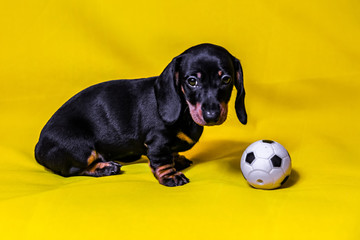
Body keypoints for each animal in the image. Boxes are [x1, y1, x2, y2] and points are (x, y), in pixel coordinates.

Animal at [34, 44, 248, 188]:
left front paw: (177, 158)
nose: (212, 116)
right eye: (192, 81)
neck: (185, 109)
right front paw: (171, 176)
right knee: (72, 171)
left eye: (226, 79)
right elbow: (162, 161)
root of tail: (38, 147)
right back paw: (104, 168)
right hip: (81, 149)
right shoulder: (157, 142)